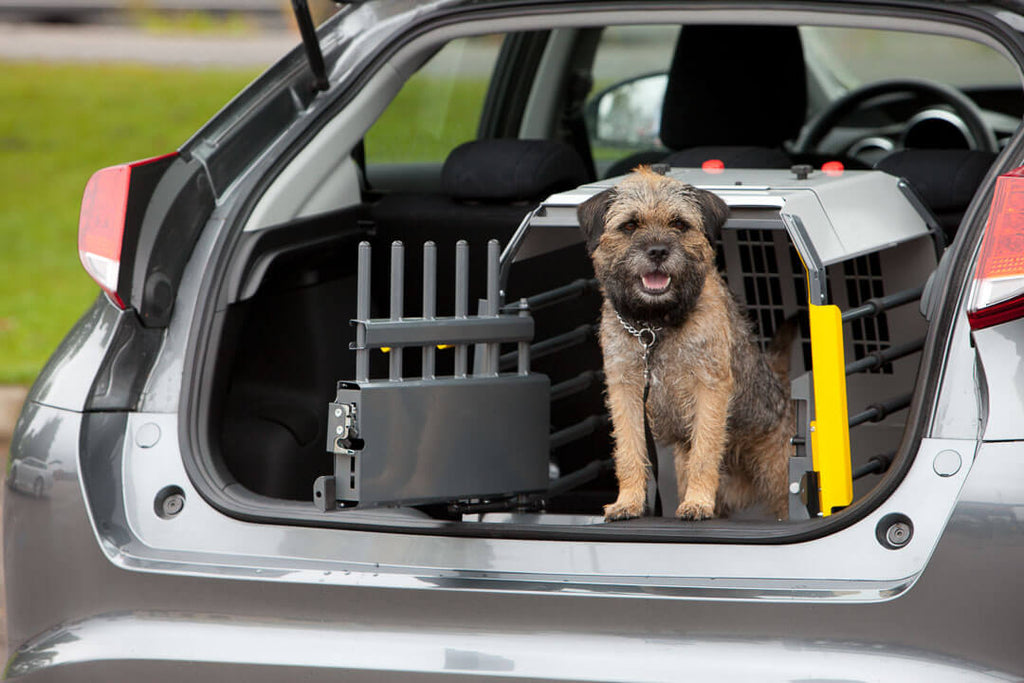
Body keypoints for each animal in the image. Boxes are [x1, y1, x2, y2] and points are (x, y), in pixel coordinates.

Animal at [581, 167, 794, 520]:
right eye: (629, 226)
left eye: (679, 224)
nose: (657, 251)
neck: (654, 326)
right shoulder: (625, 390)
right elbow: (629, 449)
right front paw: (628, 502)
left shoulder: (710, 387)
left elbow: (705, 450)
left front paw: (697, 502)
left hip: (777, 473)